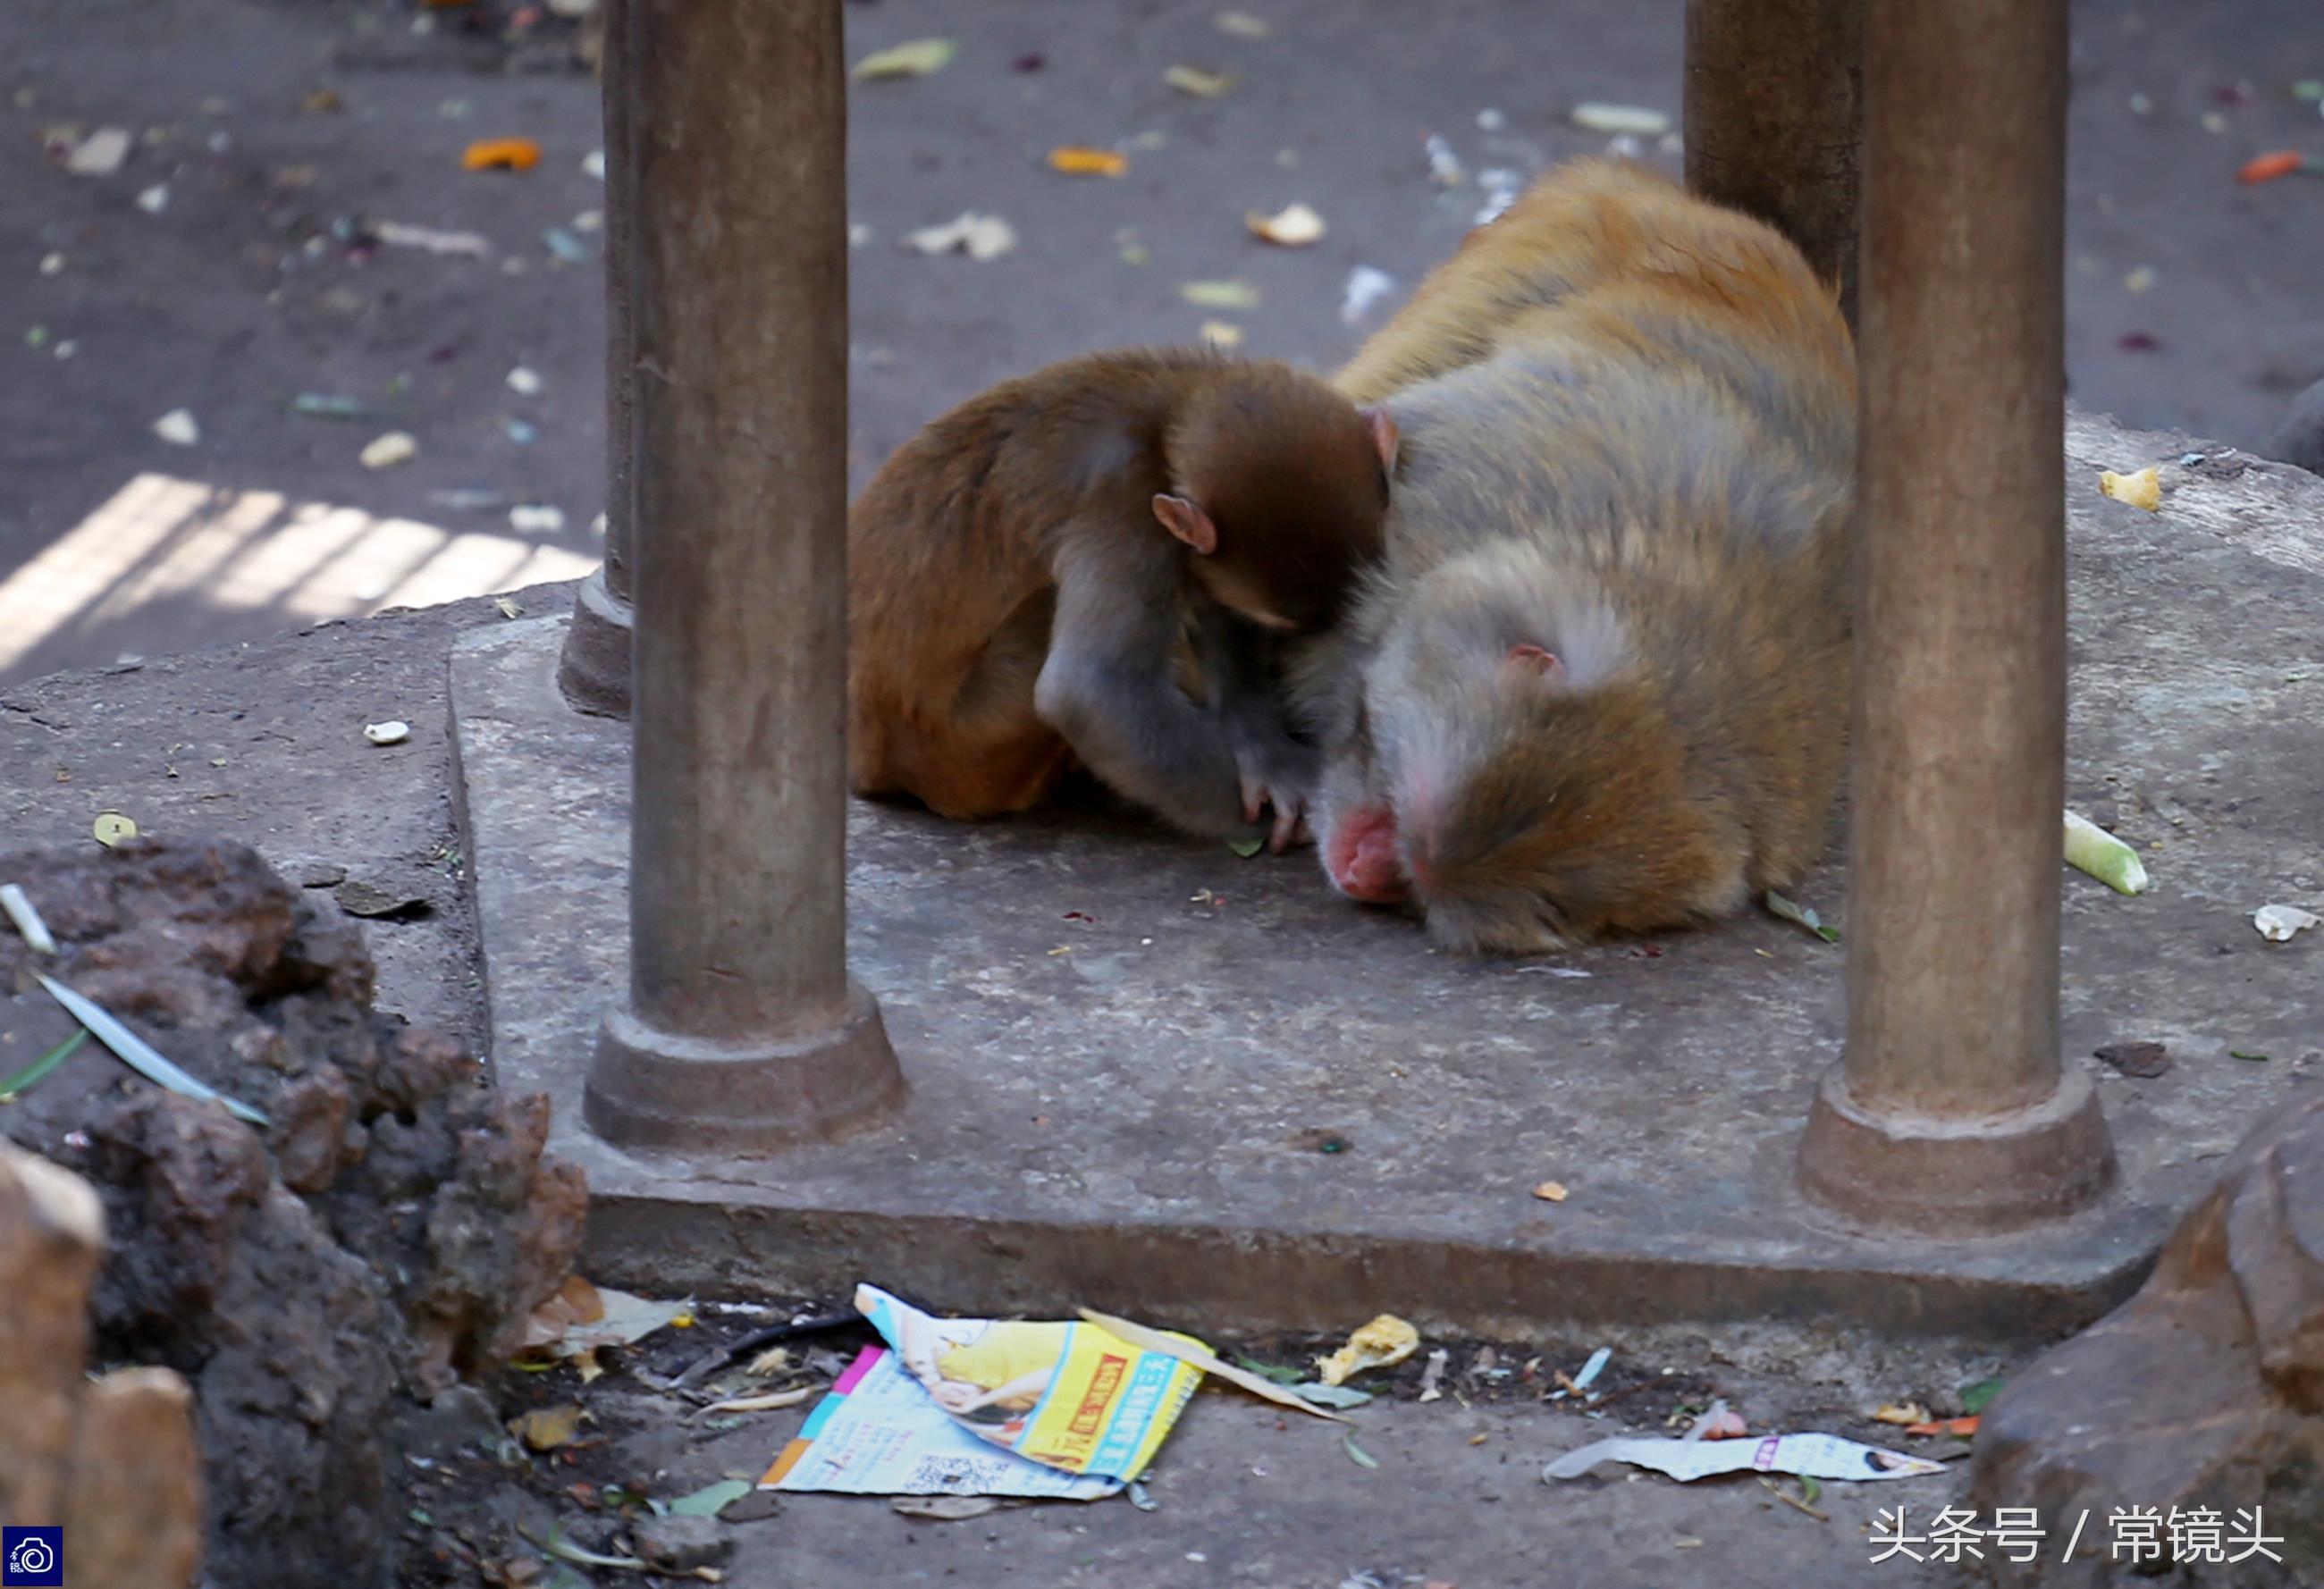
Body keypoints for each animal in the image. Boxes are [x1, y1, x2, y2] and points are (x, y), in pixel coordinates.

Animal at [855, 343, 1394, 850]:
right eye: (1282, 625)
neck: (1169, 411)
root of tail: (873, 765)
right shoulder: (1127, 506)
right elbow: (1090, 690)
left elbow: (1212, 601)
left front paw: (1262, 748)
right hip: (969, 745)